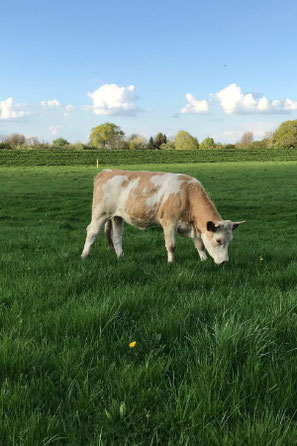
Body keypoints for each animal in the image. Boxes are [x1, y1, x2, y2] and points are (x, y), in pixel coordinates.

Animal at [81, 168, 243, 264]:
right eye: (218, 240)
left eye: (230, 240)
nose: (225, 261)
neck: (187, 193)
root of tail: (107, 171)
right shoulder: (169, 223)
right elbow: (171, 245)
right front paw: (171, 262)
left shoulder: (195, 226)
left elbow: (199, 244)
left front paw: (203, 259)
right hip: (100, 213)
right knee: (91, 232)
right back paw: (85, 255)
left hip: (117, 216)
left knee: (116, 237)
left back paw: (121, 256)